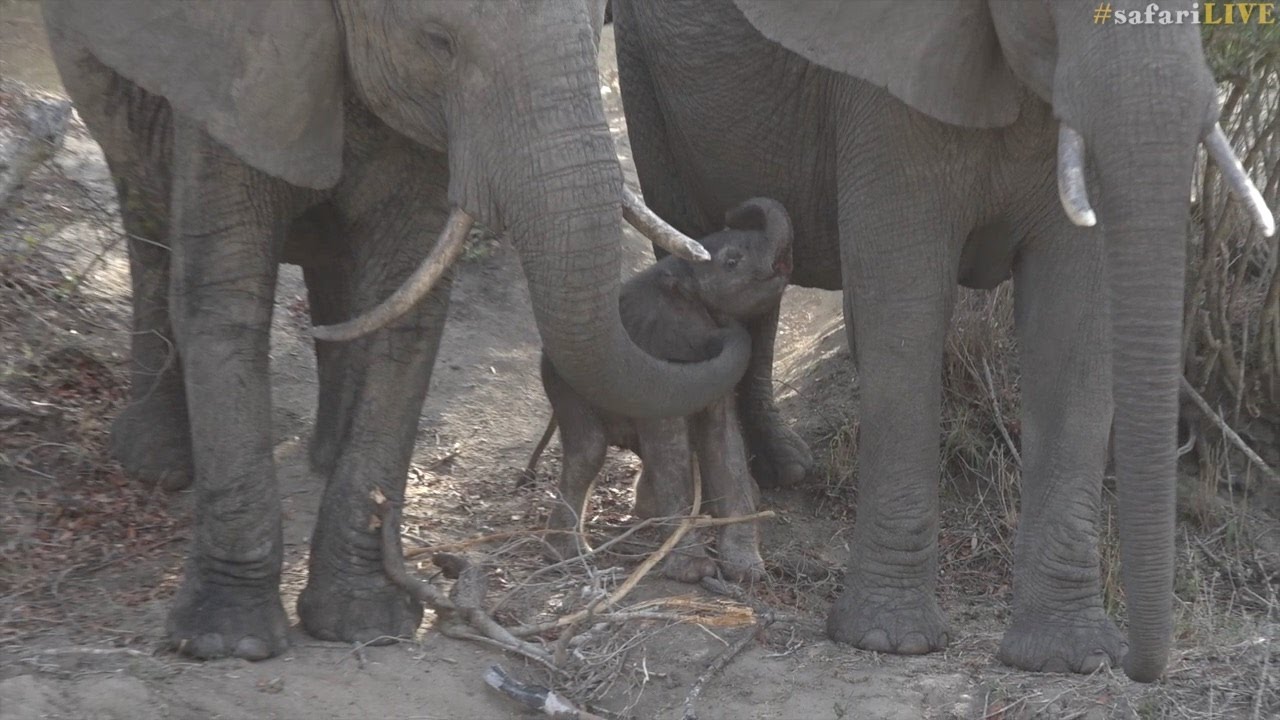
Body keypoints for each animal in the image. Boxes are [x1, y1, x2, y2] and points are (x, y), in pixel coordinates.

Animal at [41, 0, 755, 661]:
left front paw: (366, 623)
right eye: (439, 42)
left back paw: (325, 451)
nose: (722, 311)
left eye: (598, 27)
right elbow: (225, 295)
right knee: (148, 219)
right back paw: (157, 460)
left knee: (337, 270)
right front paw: (226, 641)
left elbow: (404, 299)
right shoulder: (229, 75)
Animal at [531, 197, 794, 583]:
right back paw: (568, 556)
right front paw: (694, 571)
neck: (678, 276)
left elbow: (723, 439)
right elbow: (669, 446)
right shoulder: (661, 351)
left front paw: (746, 569)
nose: (734, 210)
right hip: (562, 386)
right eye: (732, 262)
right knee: (589, 450)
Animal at [612, 0, 1275, 682]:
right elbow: (903, 303)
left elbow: (1078, 318)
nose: (1144, 669)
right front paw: (887, 642)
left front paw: (1074, 659)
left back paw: (785, 470)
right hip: (644, 75)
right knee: (687, 229)